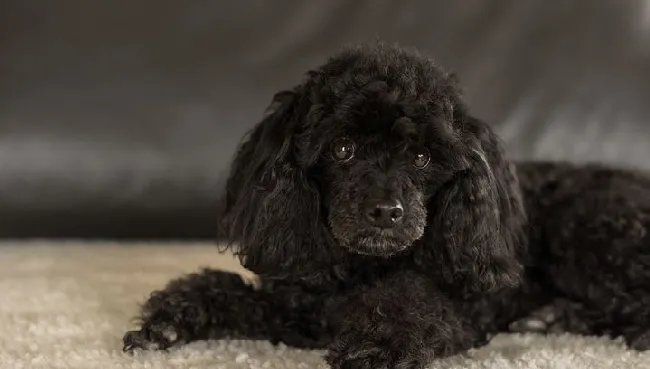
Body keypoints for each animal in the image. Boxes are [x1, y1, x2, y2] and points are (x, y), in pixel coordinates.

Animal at [121, 41, 648, 366]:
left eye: (421, 156)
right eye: (342, 149)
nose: (386, 212)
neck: (359, 270)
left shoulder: (459, 311)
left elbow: (408, 300)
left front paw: (375, 346)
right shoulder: (291, 310)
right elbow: (224, 290)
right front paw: (169, 321)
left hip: (589, 230)